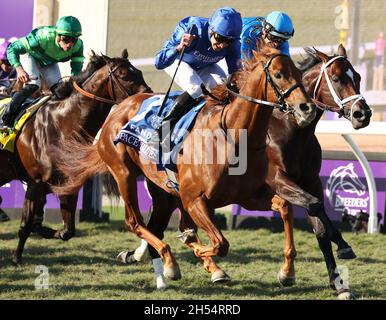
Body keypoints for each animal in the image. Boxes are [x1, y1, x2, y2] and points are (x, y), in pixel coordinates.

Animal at [0, 49, 151, 264]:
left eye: (138, 71)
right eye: (123, 75)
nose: (148, 97)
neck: (62, 127)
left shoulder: (69, 186)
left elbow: (67, 231)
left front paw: (42, 229)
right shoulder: (35, 184)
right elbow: (25, 225)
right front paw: (16, 258)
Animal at [52, 43, 316, 284]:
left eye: (298, 72)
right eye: (279, 74)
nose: (307, 108)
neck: (233, 134)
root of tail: (121, 108)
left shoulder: (246, 196)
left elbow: (284, 206)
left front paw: (287, 272)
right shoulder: (195, 199)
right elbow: (221, 243)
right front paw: (194, 246)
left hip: (164, 189)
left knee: (160, 225)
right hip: (123, 172)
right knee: (134, 222)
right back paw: (171, 262)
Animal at [117, 45, 370, 300]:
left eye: (358, 77)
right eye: (337, 79)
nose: (363, 113)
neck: (291, 130)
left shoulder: (310, 182)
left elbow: (318, 225)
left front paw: (338, 282)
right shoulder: (278, 179)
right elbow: (314, 206)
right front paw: (342, 247)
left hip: (169, 193)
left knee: (160, 226)